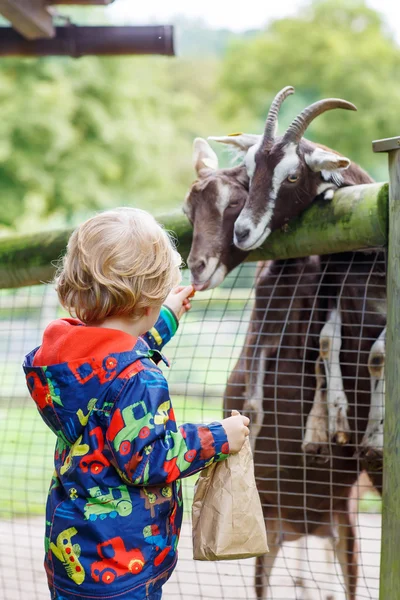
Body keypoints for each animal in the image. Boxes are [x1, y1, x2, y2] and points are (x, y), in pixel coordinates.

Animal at [184, 138, 360, 596]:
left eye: (233, 203)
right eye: (189, 211)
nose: (198, 267)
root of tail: (306, 526)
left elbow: (328, 336)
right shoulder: (266, 318)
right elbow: (256, 387)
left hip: (344, 526)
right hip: (272, 535)